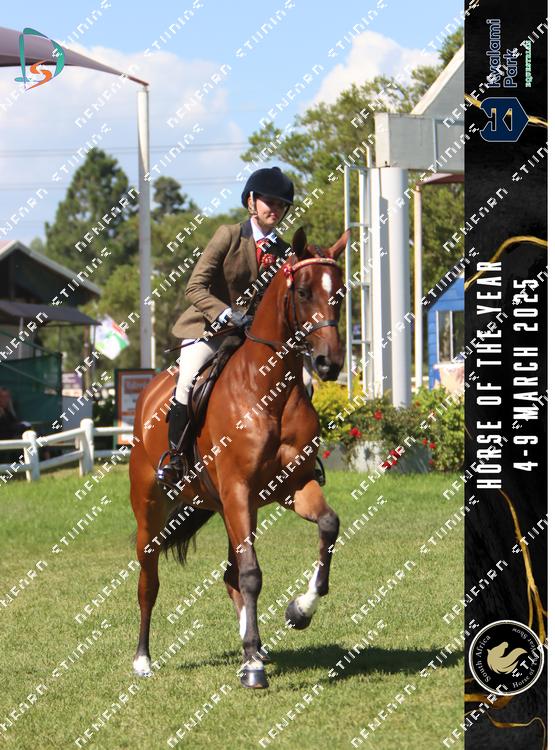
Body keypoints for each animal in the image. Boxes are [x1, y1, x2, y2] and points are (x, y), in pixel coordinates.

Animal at [129, 227, 349, 689]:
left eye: (339, 293)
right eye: (303, 292)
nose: (329, 364)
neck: (268, 390)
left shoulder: (291, 487)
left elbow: (328, 526)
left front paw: (299, 611)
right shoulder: (238, 491)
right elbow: (252, 574)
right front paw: (254, 670)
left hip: (228, 508)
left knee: (231, 576)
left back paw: (255, 649)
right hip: (152, 511)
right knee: (149, 581)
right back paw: (143, 660)